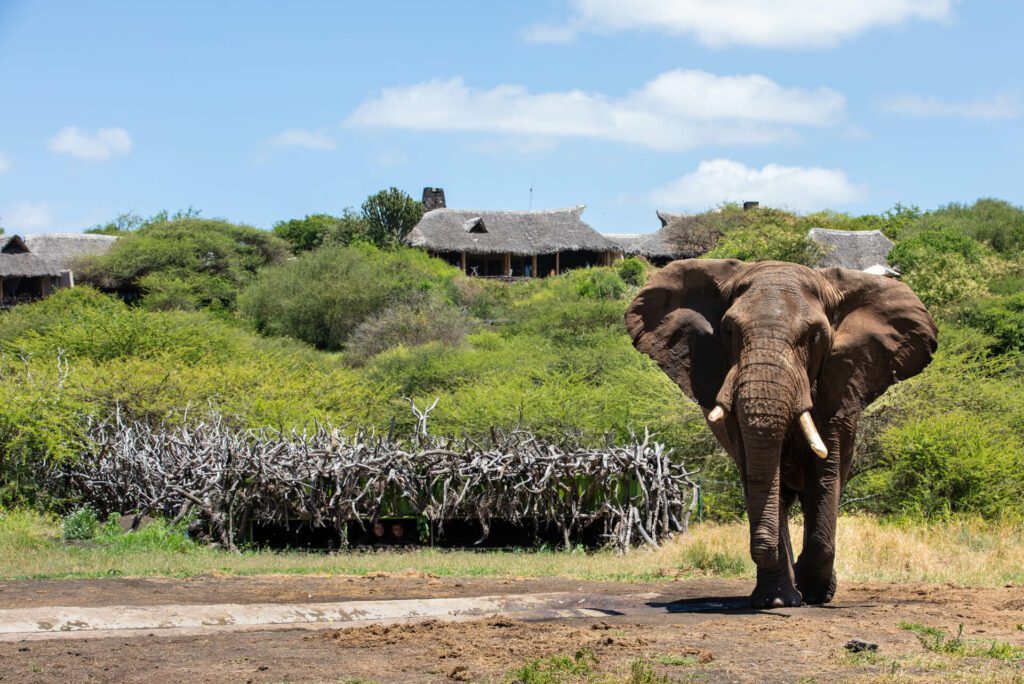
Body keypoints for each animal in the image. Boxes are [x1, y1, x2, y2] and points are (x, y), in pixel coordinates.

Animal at [625, 259, 937, 608]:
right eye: (729, 331)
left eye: (814, 336)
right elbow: (757, 472)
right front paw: (776, 600)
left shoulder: (839, 381)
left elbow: (825, 476)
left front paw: (815, 593)